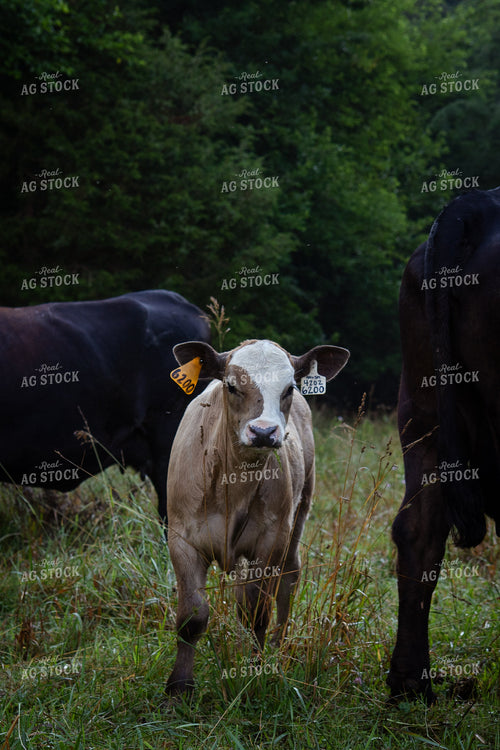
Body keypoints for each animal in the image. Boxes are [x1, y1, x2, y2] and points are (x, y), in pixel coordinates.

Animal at [164, 338, 350, 695]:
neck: (232, 483)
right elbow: (192, 618)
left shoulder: (270, 542)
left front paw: (254, 672)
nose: (263, 432)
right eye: (231, 386)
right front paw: (178, 688)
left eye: (289, 388)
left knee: (288, 578)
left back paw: (278, 645)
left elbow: (257, 613)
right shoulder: (182, 540)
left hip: (298, 515)